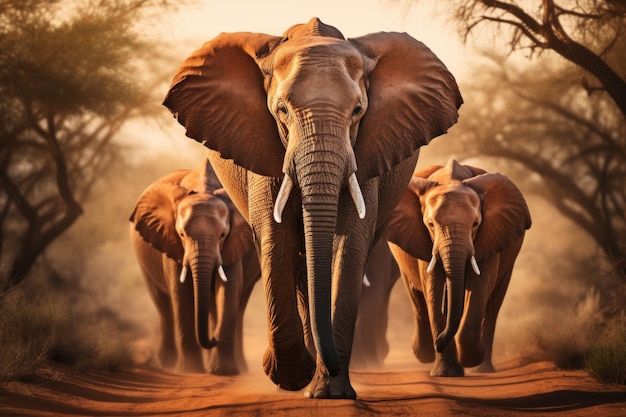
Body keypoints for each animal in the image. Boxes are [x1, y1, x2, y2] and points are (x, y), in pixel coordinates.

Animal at [129, 159, 258, 374]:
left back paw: (239, 366)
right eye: (181, 234)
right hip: (144, 264)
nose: (213, 338)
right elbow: (181, 292)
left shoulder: (234, 244)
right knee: (162, 304)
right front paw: (190, 370)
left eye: (223, 235)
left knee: (240, 304)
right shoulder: (171, 242)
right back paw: (168, 363)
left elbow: (229, 290)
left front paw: (222, 371)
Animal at [163, 18, 460, 396]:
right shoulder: (263, 147)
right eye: (282, 111)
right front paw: (289, 377)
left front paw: (330, 393)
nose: (329, 365)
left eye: (358, 111)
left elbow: (349, 245)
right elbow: (276, 239)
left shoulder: (366, 152)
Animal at [388, 158, 528, 376]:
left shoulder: (490, 234)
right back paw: (424, 353)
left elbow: (480, 287)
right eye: (430, 224)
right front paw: (446, 373)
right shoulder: (423, 239)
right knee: (416, 297)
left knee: (493, 303)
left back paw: (482, 370)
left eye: (476, 224)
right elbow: (433, 288)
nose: (439, 341)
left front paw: (469, 359)